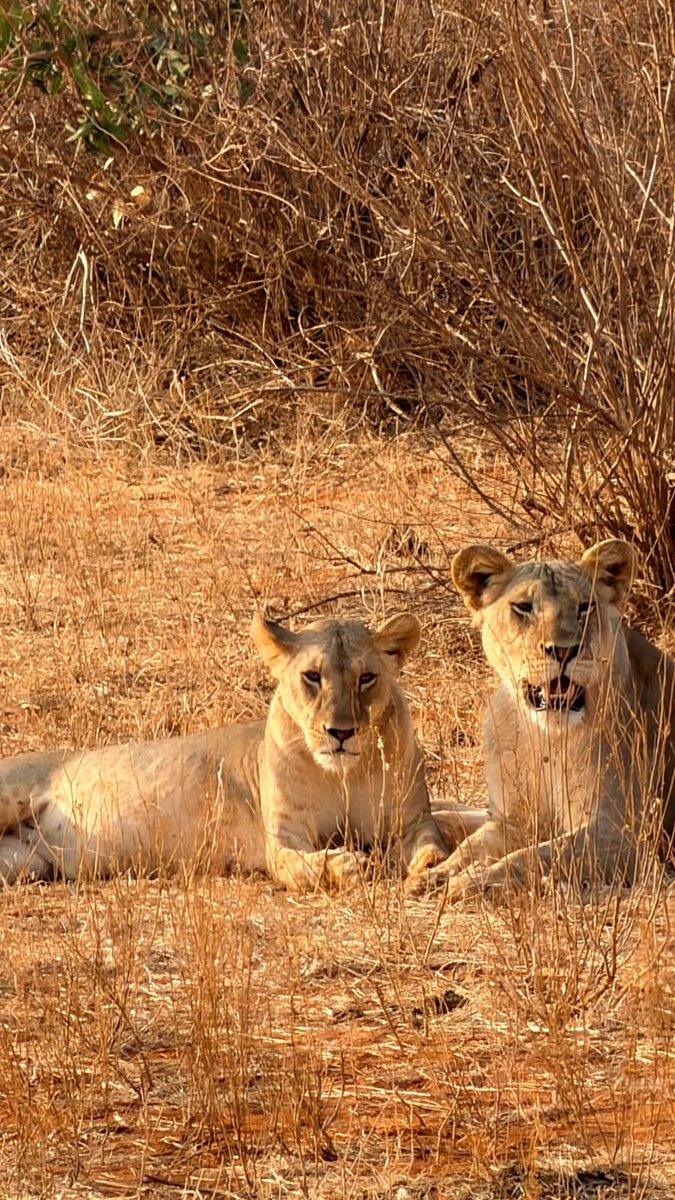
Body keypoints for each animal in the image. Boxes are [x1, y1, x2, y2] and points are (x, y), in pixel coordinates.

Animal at [0, 612, 462, 892]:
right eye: (312, 677)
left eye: (366, 678)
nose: (341, 732)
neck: (341, 775)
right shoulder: (283, 837)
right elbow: (300, 866)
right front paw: (348, 865)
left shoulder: (411, 819)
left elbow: (432, 843)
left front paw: (427, 868)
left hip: (25, 863)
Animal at [420, 539, 675, 900]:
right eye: (523, 608)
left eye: (585, 607)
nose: (563, 650)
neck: (544, 737)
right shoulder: (511, 820)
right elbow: (474, 846)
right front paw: (437, 875)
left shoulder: (625, 836)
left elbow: (535, 855)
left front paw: (471, 881)